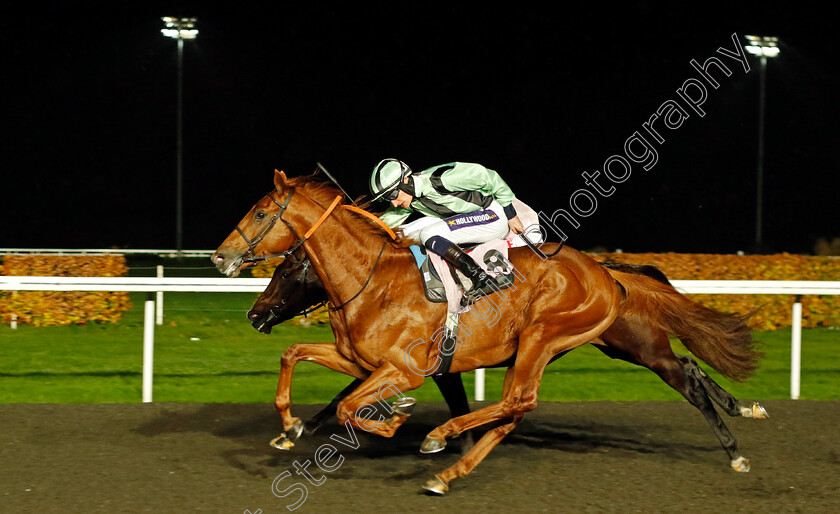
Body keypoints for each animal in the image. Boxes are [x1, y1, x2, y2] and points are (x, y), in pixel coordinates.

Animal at [213, 171, 764, 492]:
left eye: (261, 214)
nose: (221, 258)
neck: (370, 278)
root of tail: (608, 273)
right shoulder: (363, 360)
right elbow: (295, 355)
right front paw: (291, 425)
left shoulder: (408, 368)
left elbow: (352, 404)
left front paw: (394, 421)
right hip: (600, 345)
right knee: (519, 408)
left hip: (552, 336)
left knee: (523, 400)